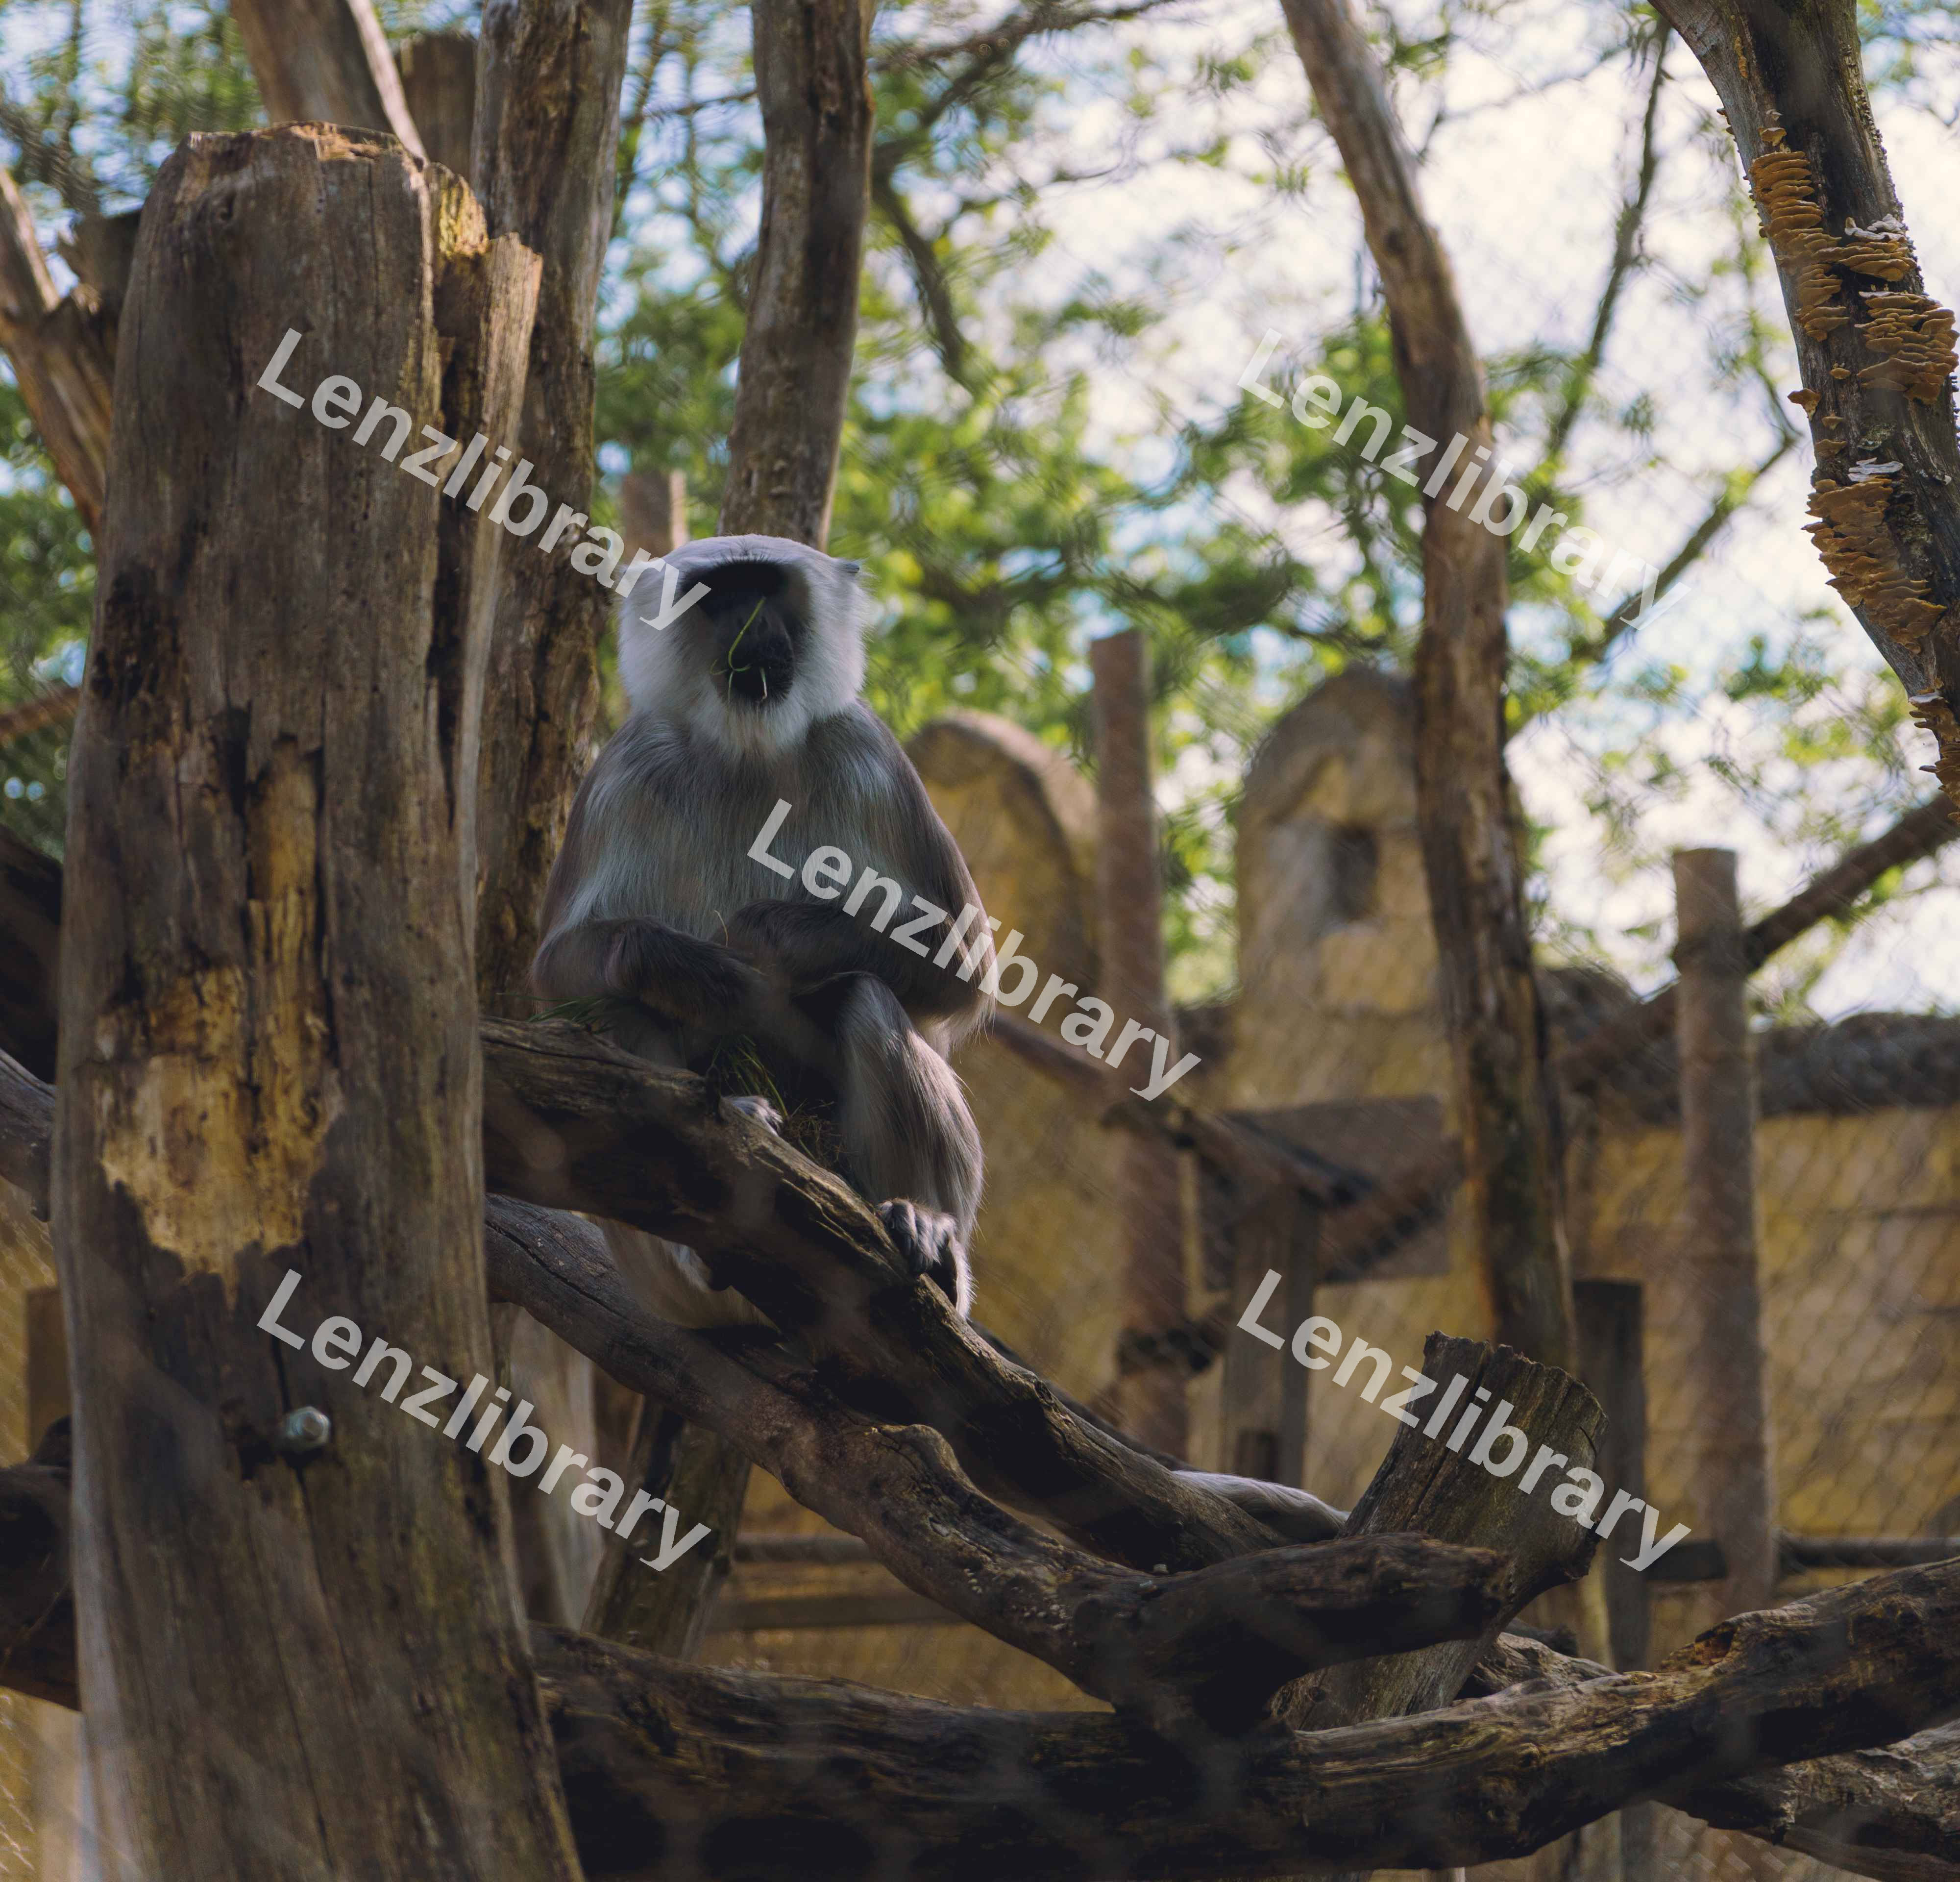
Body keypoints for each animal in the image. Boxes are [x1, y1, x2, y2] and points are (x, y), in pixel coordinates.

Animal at [531, 533, 990, 1330]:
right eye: (721, 594)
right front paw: (680, 963)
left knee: (865, 996)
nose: (755, 630)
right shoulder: (627, 767)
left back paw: (926, 1235)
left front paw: (766, 936)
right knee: (612, 1010)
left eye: (769, 588)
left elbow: (960, 966)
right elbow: (558, 974)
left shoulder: (866, 749)